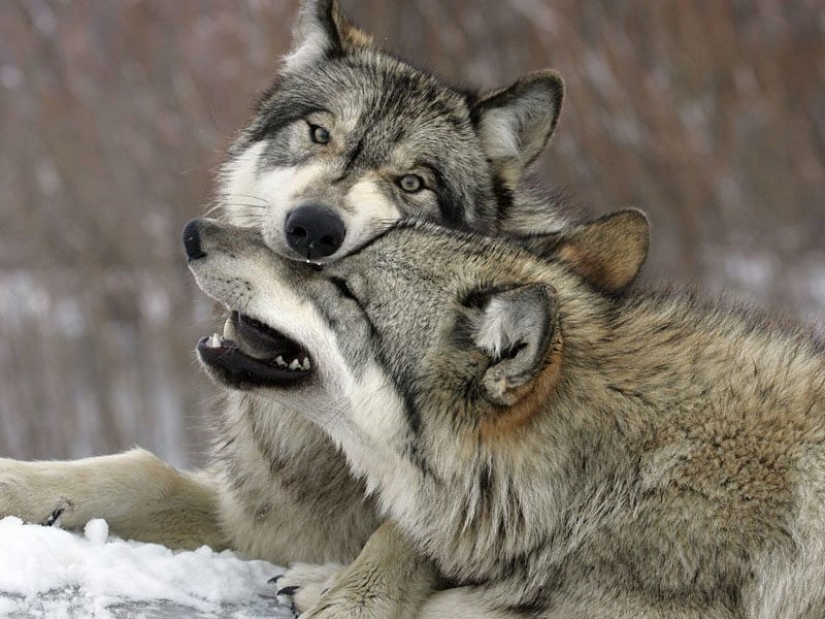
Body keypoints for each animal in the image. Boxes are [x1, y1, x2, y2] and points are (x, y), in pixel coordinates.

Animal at [0, 0, 566, 574]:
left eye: (412, 183)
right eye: (319, 134)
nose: (313, 228)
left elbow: (410, 533)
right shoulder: (261, 521)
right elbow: (142, 472)